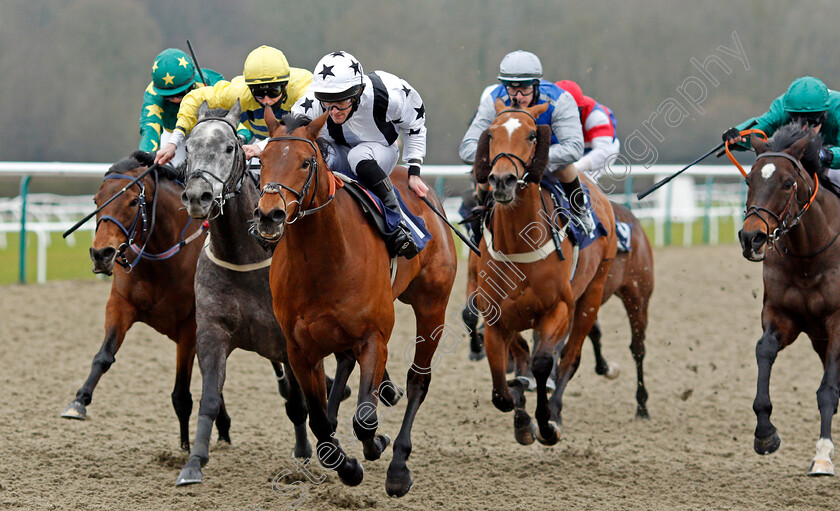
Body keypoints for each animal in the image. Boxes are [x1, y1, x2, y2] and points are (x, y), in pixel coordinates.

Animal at [62, 152, 221, 452]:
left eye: (133, 201)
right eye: (96, 200)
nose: (101, 254)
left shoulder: (190, 325)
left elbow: (182, 394)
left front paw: (185, 447)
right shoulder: (121, 304)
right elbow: (103, 356)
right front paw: (78, 401)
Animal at [253, 110, 456, 498]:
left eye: (305, 162)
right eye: (263, 160)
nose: (269, 216)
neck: (324, 259)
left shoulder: (375, 338)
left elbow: (365, 418)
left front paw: (377, 446)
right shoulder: (299, 349)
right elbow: (319, 423)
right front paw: (344, 464)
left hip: (432, 304)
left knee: (417, 380)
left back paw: (398, 465)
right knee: (344, 366)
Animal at [472, 99, 616, 444]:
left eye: (532, 136)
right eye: (491, 134)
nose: (502, 180)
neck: (518, 244)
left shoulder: (558, 309)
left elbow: (541, 362)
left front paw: (546, 423)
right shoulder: (497, 316)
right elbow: (503, 383)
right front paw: (521, 414)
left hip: (591, 295)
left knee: (570, 357)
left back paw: (557, 410)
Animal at [740, 124, 840, 476]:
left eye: (786, 183)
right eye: (749, 180)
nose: (751, 237)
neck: (809, 256)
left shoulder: (838, 322)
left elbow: (828, 390)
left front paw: (823, 455)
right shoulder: (783, 316)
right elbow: (764, 350)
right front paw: (765, 433)